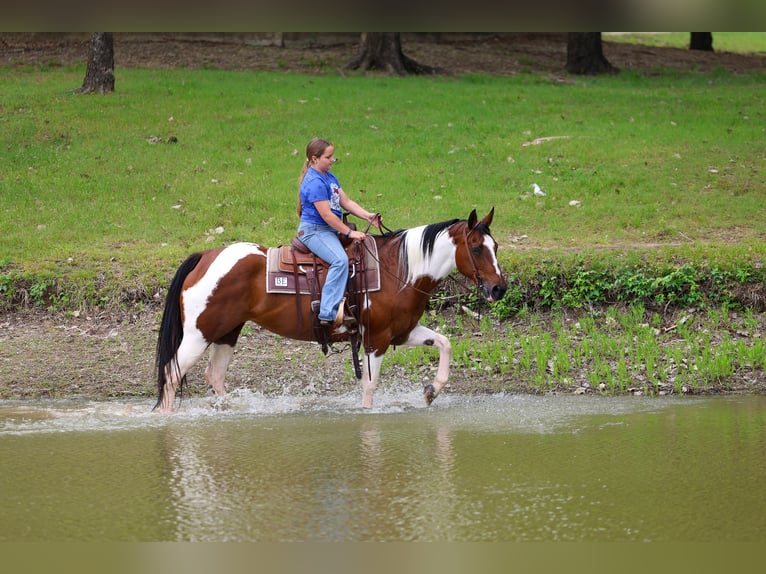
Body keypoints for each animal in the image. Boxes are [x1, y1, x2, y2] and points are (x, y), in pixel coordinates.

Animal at [154, 208, 507, 412]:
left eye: (496, 246)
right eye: (477, 248)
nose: (499, 288)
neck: (399, 269)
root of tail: (205, 256)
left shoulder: (401, 332)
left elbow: (445, 343)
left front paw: (432, 390)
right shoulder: (376, 339)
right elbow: (369, 386)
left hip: (227, 332)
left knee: (214, 375)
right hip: (198, 335)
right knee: (172, 374)